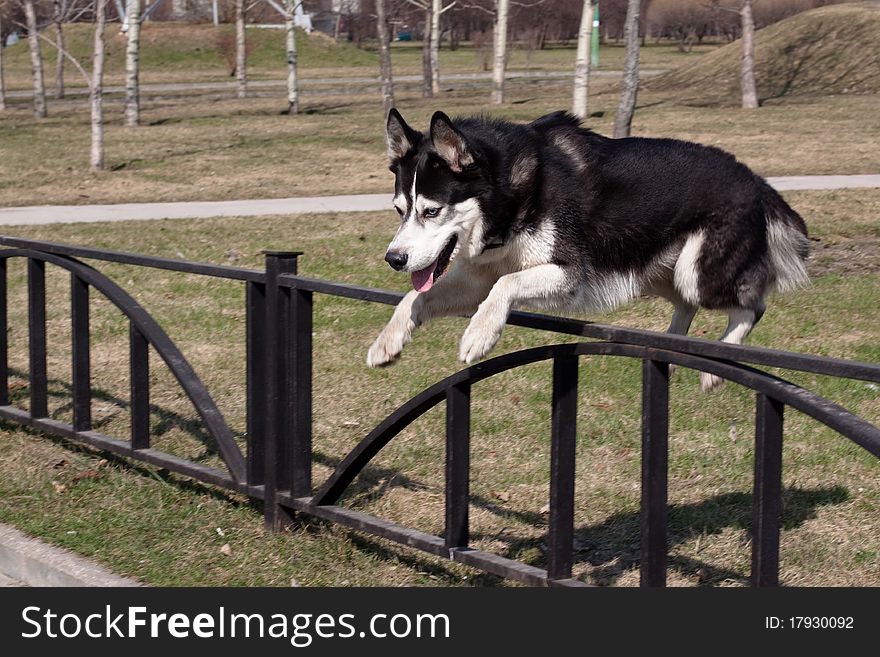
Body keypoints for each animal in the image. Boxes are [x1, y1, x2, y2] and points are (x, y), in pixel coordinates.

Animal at [366, 109, 812, 390]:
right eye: (400, 210)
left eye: (431, 211)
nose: (394, 259)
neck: (513, 195)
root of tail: (756, 181)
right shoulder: (476, 277)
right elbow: (415, 298)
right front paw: (388, 341)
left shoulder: (568, 273)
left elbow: (505, 285)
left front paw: (480, 333)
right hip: (654, 272)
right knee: (686, 305)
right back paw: (671, 346)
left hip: (698, 272)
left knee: (751, 305)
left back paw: (716, 365)